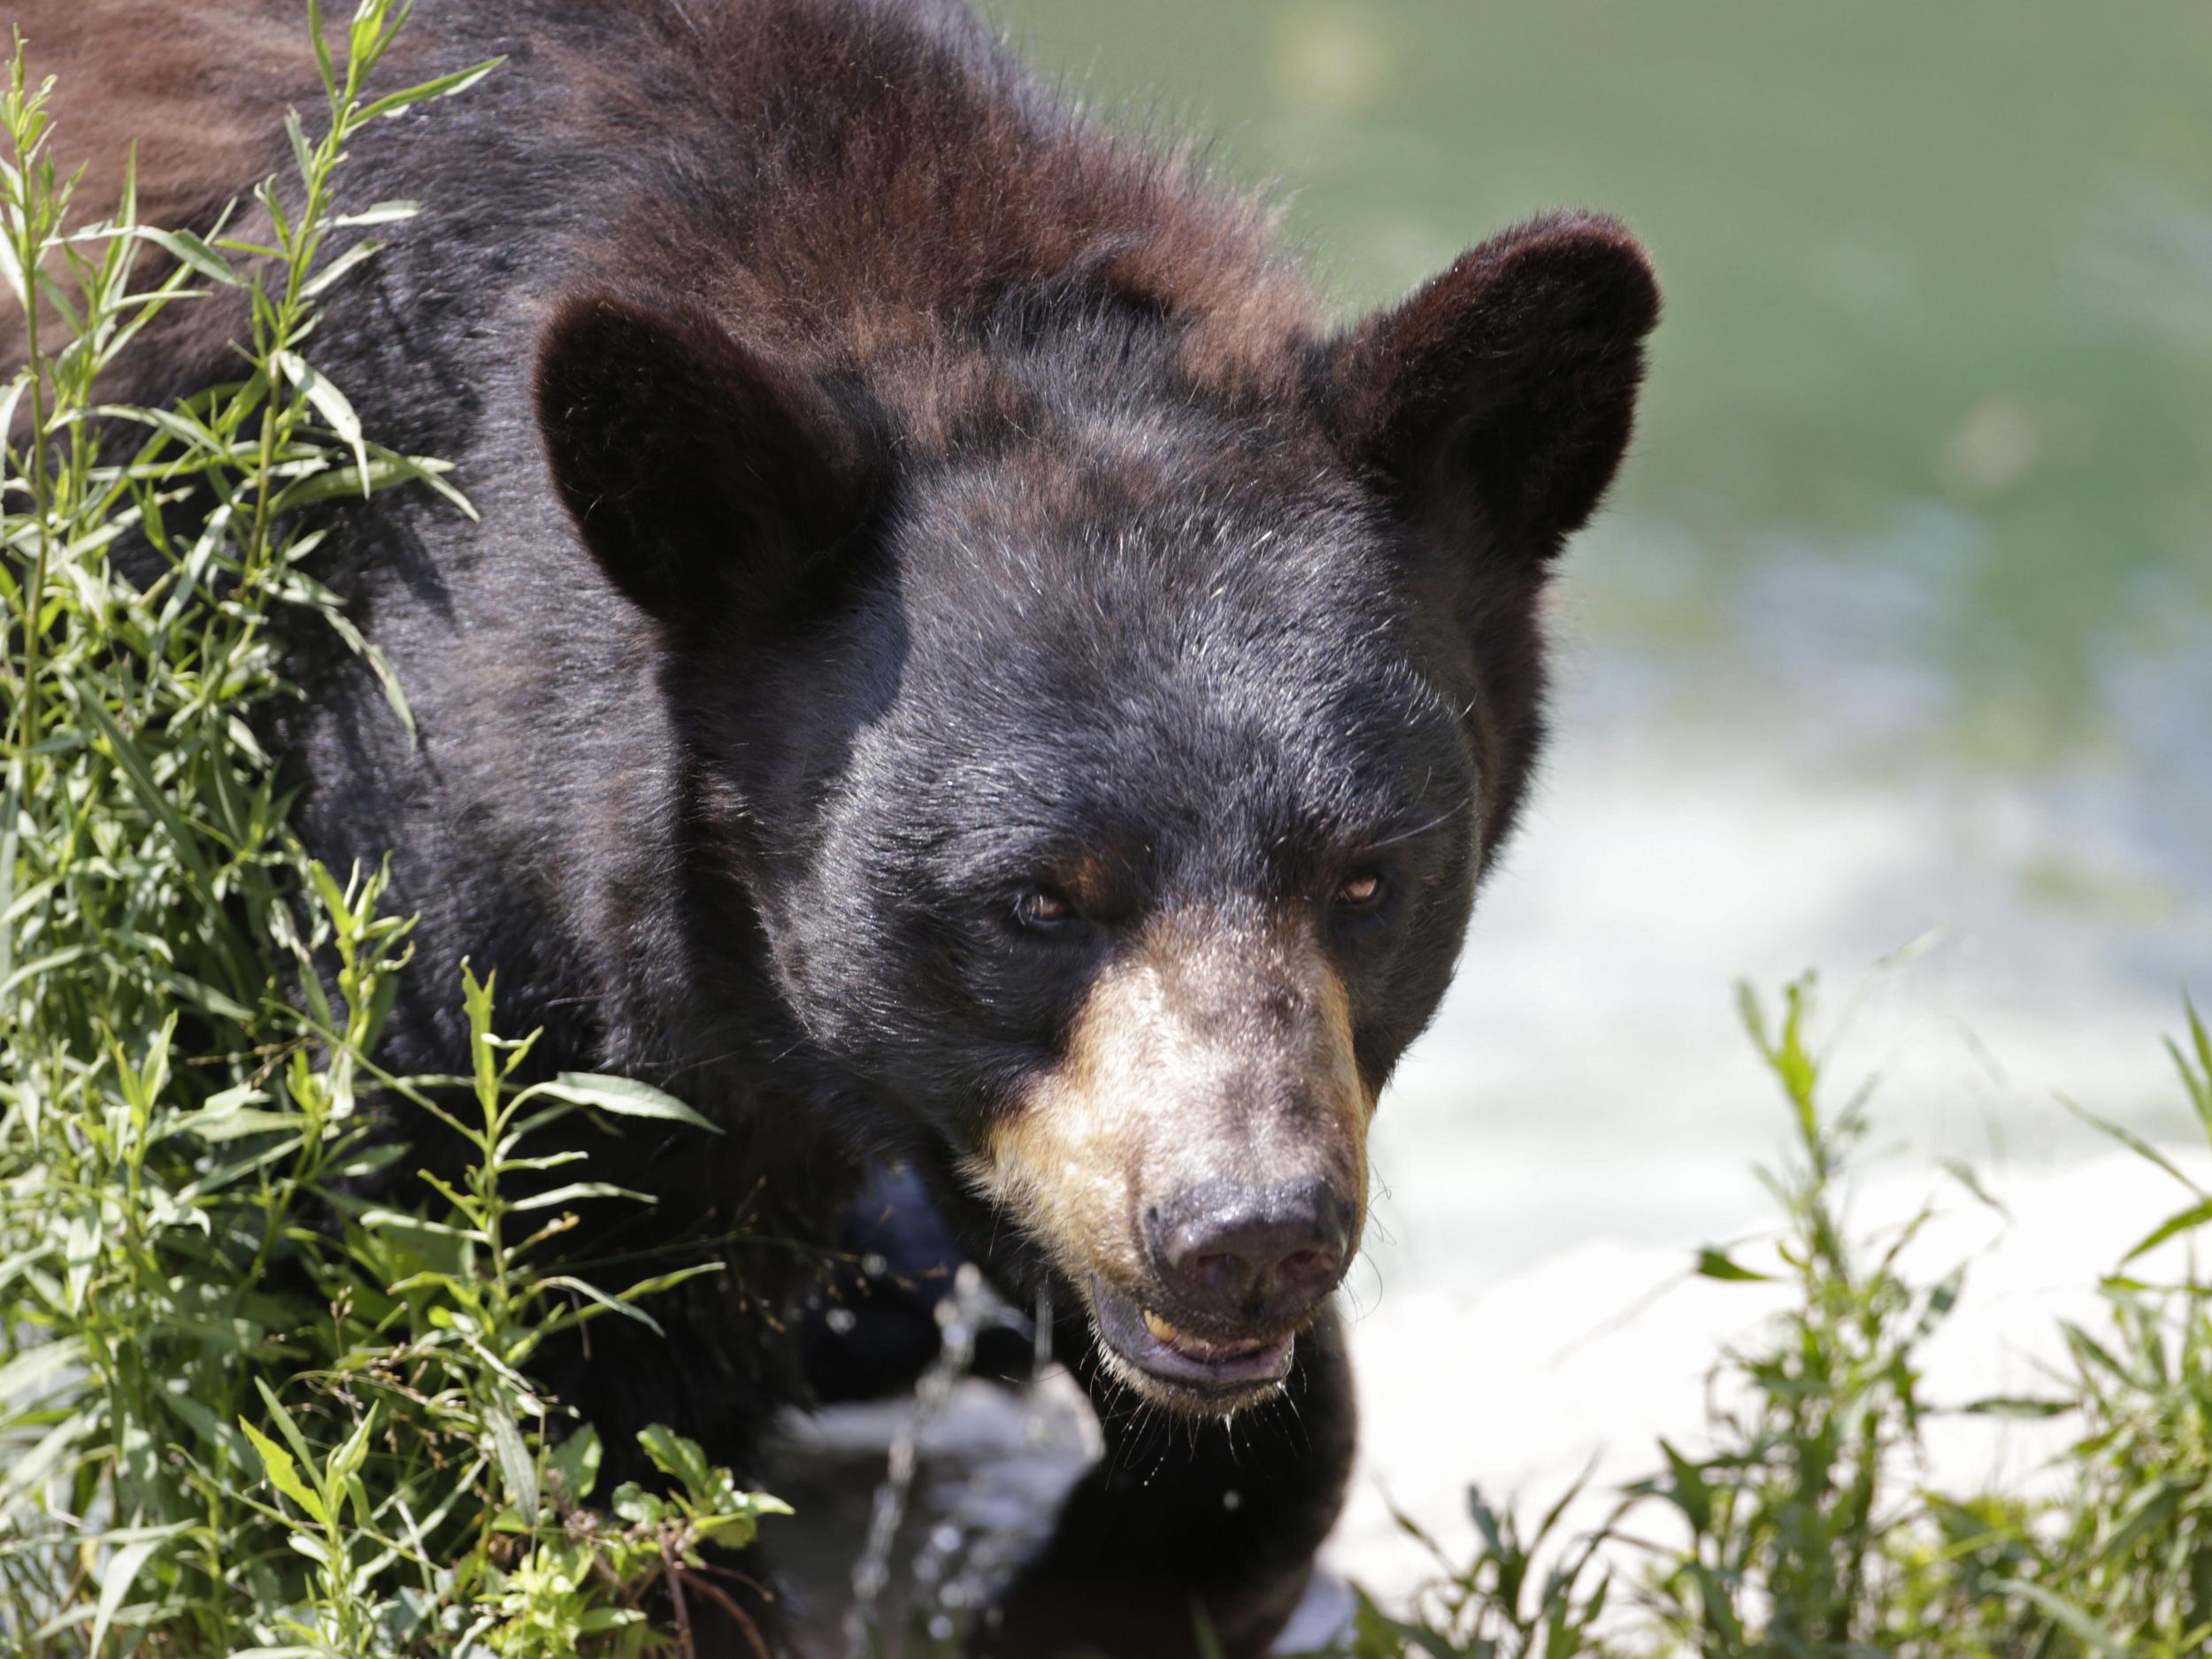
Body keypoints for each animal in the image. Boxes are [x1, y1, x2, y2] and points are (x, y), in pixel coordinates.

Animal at [30, 3, 1663, 1659]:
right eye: (1037, 900)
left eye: (1368, 878)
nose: (1249, 1236)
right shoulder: (388, 835)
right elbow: (526, 1373)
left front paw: (1083, 1585)